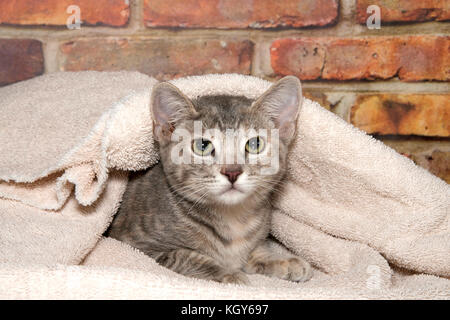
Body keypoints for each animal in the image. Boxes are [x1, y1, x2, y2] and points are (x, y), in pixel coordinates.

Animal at [108, 76, 312, 284]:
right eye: (202, 145)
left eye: (255, 144)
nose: (232, 172)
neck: (234, 221)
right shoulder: (137, 246)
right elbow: (184, 256)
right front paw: (228, 274)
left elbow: (256, 250)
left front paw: (282, 261)